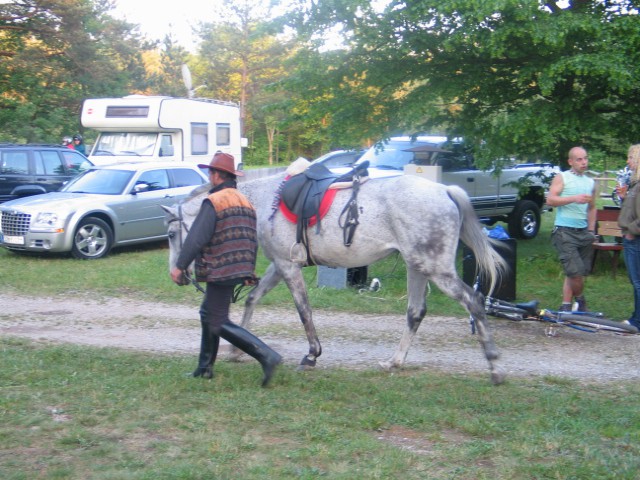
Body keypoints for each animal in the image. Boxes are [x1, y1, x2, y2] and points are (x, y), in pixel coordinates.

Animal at [165, 171, 510, 384]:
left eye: (170, 234)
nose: (176, 274)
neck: (264, 201)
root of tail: (445, 190)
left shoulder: (288, 267)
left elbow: (304, 311)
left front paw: (312, 355)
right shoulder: (279, 265)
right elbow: (252, 298)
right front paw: (237, 350)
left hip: (436, 269)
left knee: (474, 301)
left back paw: (494, 366)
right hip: (418, 267)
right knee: (416, 312)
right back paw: (395, 362)